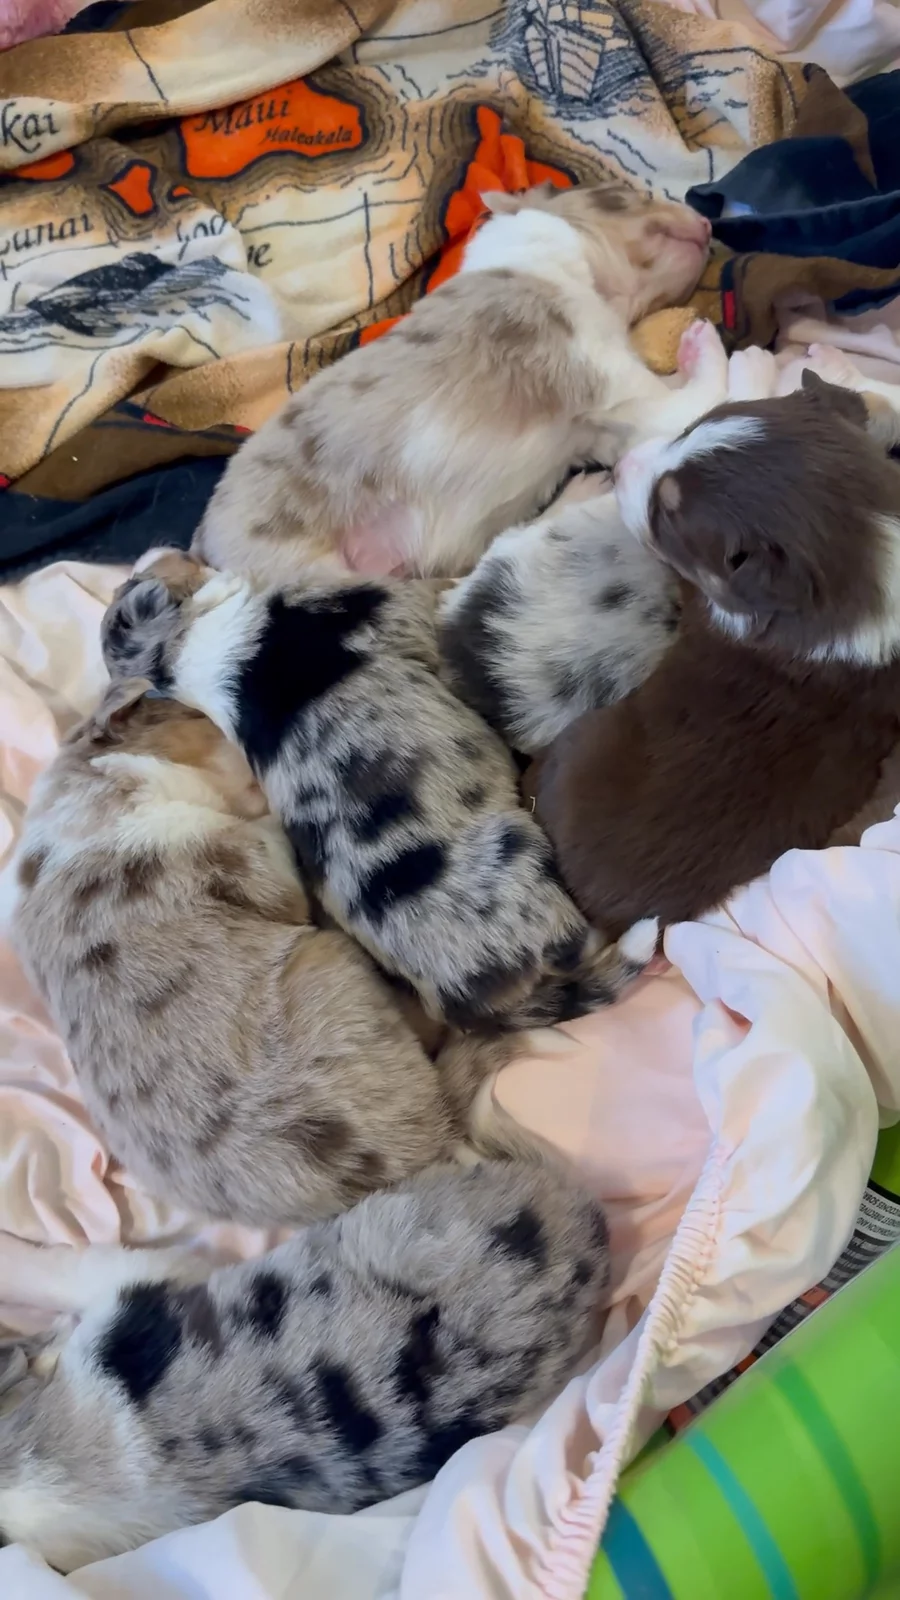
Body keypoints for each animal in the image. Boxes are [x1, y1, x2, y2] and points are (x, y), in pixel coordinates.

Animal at [100, 551, 656, 1030]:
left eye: (126, 586)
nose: (148, 555)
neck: (180, 655)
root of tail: (462, 1005)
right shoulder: (387, 601)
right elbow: (439, 590)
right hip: (521, 854)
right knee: (577, 946)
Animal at [194, 180, 722, 587]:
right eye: (628, 192)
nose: (710, 223)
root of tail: (201, 554)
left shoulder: (602, 427)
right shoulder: (608, 378)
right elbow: (688, 400)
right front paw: (704, 343)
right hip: (315, 569)